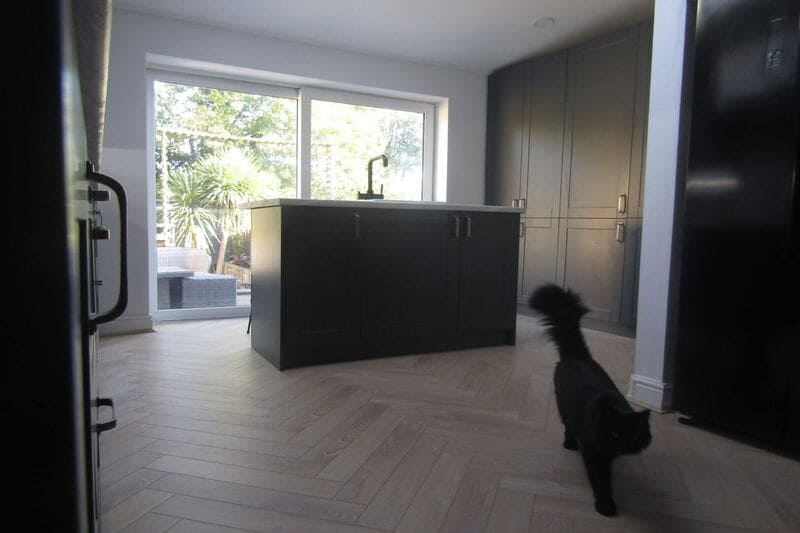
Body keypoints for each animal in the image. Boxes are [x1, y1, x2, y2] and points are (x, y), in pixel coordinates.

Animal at [532, 282, 648, 516]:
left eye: (635, 435)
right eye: (614, 433)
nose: (626, 445)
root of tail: (578, 356)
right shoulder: (594, 452)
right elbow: (600, 481)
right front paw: (605, 506)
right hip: (564, 408)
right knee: (567, 426)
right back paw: (569, 444)